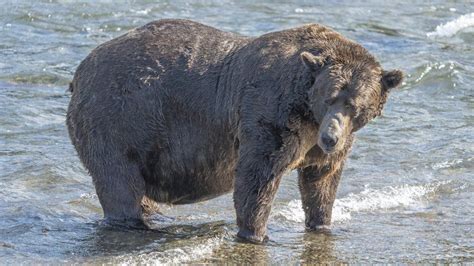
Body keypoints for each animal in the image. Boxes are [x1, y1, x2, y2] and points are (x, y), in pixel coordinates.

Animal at [65, 18, 402, 243]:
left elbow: (321, 180)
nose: (331, 137)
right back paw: (134, 223)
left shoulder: (318, 143)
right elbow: (257, 177)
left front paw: (322, 224)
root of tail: (79, 72)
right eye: (330, 97)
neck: (307, 110)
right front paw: (256, 234)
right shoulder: (270, 114)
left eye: (355, 105)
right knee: (119, 180)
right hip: (119, 118)